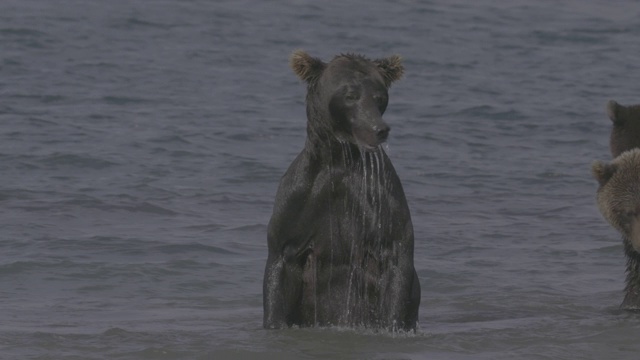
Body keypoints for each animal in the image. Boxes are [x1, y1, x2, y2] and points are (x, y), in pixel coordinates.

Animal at [262, 50, 422, 332]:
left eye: (379, 96)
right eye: (350, 95)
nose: (379, 129)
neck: (339, 158)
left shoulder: (381, 203)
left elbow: (396, 261)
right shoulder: (298, 204)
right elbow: (279, 269)